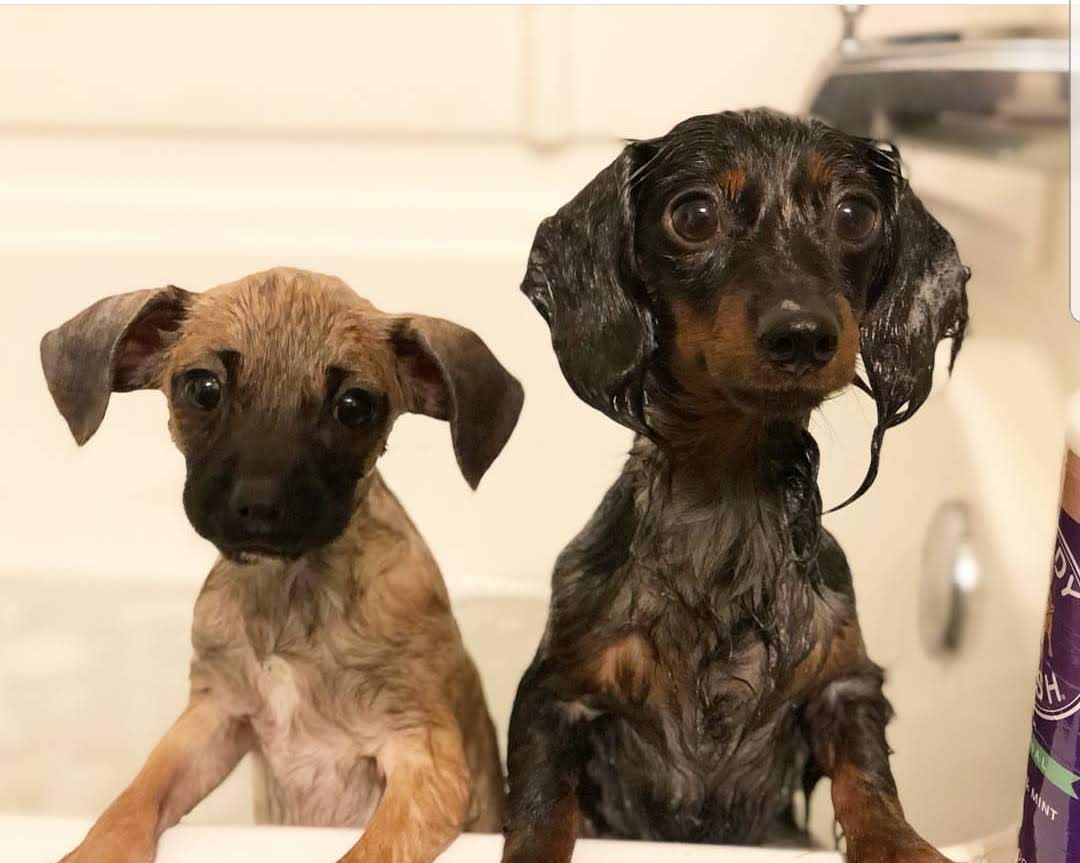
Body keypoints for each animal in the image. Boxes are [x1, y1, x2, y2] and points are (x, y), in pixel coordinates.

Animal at [38, 264, 518, 863]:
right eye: (203, 388)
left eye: (355, 407)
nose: (259, 506)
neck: (291, 593)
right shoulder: (212, 719)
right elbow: (134, 798)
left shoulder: (423, 758)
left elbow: (365, 853)